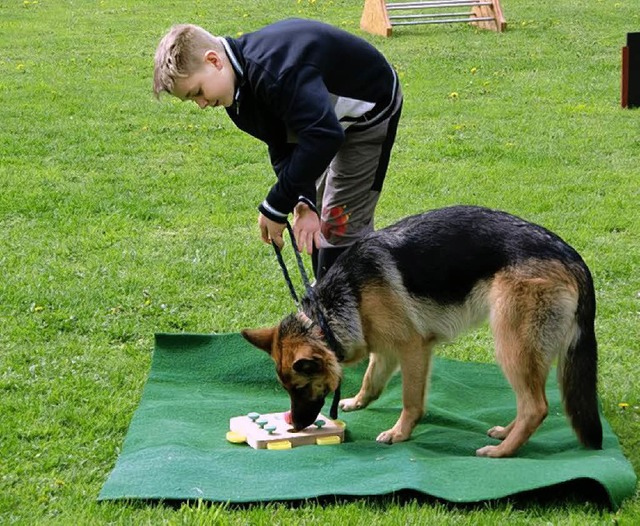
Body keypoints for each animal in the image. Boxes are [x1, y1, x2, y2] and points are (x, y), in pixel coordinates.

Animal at [242, 206, 604, 458]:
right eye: (287, 389)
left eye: (301, 388)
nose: (295, 426)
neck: (333, 309)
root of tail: (574, 258)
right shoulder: (383, 348)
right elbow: (371, 380)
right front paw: (358, 401)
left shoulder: (413, 349)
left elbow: (410, 399)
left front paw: (400, 433)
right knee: (531, 402)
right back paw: (505, 434)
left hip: (511, 345)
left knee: (536, 406)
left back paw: (503, 452)